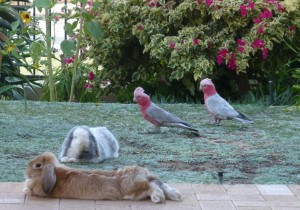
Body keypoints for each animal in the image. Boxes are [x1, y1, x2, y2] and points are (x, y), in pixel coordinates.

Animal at [23, 152, 182, 203]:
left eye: (37, 165)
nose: (26, 172)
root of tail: (142, 173)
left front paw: (25, 190)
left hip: (134, 190)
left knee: (151, 185)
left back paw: (158, 197)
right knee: (157, 183)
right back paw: (175, 195)